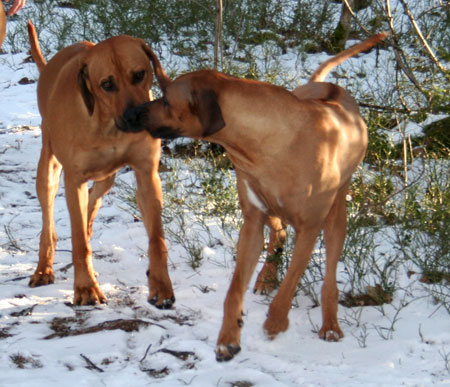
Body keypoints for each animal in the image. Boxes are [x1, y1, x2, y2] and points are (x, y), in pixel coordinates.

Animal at [26, 22, 174, 310]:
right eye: (107, 84)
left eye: (139, 74)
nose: (135, 116)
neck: (108, 125)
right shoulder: (74, 180)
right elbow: (78, 242)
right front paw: (85, 288)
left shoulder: (147, 174)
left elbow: (157, 238)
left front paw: (161, 285)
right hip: (49, 169)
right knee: (49, 223)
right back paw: (43, 268)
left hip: (107, 177)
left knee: (95, 199)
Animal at [118, 32, 386, 360]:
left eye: (167, 100)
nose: (132, 114)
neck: (270, 143)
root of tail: (329, 87)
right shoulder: (252, 222)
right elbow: (234, 289)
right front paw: (228, 337)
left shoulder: (310, 228)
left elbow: (292, 280)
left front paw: (275, 321)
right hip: (267, 208)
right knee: (278, 232)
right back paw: (268, 276)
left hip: (336, 212)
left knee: (330, 272)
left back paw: (330, 323)